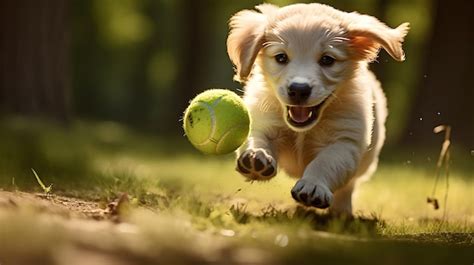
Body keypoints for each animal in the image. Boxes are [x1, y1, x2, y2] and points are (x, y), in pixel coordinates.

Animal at [226, 3, 408, 214]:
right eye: (281, 57)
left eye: (327, 60)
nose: (299, 89)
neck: (304, 130)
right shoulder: (263, 120)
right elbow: (257, 138)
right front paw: (257, 157)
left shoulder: (345, 142)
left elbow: (324, 163)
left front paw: (313, 186)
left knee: (348, 188)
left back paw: (342, 211)